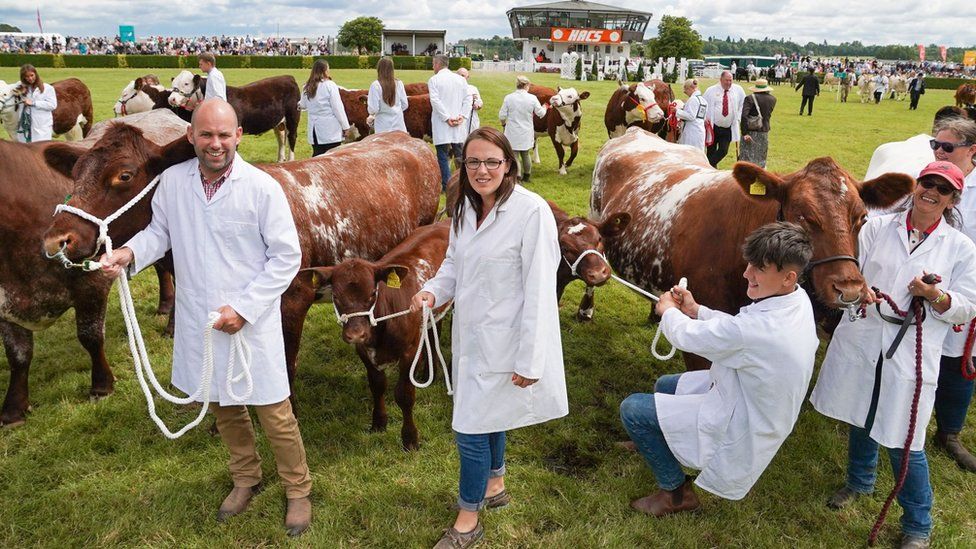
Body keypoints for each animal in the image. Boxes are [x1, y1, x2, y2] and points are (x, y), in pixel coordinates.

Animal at [0, 108, 189, 424]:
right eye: (74, 176)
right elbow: (18, 354)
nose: (56, 241)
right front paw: (13, 408)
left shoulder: (93, 282)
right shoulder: (5, 302)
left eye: (124, 175)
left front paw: (101, 385)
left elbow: (89, 336)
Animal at [168, 71, 300, 161]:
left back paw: (290, 161)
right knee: (281, 139)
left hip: (293, 117)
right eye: (173, 83)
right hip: (278, 122)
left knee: (291, 137)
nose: (171, 99)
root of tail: (288, 77)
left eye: (186, 83)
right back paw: (280, 160)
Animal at [304, 220, 450, 448]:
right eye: (335, 296)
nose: (356, 334)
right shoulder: (363, 351)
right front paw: (379, 423)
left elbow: (404, 395)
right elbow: (377, 385)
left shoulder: (409, 351)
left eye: (373, 293)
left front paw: (410, 438)